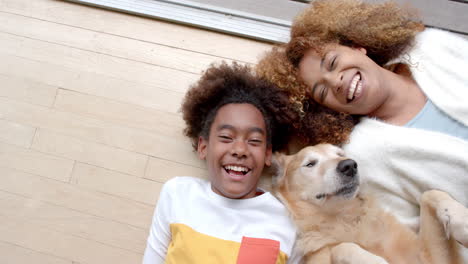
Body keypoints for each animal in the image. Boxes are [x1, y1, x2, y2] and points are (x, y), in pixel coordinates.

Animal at [272, 144, 466, 264]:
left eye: (340, 154)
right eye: (310, 164)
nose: (349, 165)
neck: (347, 218)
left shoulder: (431, 259)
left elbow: (429, 193)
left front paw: (462, 222)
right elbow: (342, 247)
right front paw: (376, 261)